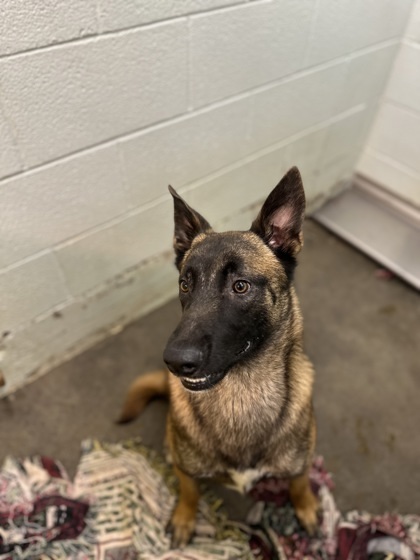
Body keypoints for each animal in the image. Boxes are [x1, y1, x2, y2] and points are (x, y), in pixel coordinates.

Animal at [118, 165, 318, 548]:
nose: (175, 361)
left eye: (240, 286)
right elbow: (190, 491)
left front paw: (307, 507)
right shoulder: (186, 470)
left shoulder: (301, 462)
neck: (242, 393)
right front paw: (185, 517)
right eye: (185, 284)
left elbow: (299, 483)